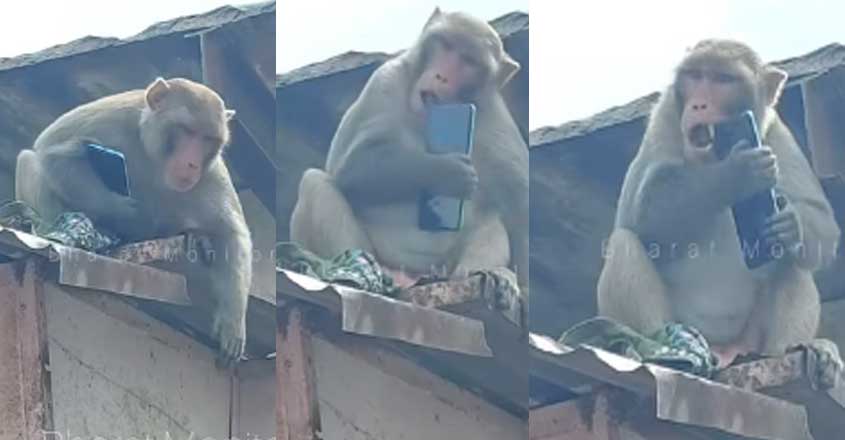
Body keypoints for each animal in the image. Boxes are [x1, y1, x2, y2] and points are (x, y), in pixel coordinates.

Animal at [15, 77, 252, 367]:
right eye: (186, 130)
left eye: (208, 139)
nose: (192, 164)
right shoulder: (113, 120)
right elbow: (53, 153)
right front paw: (135, 217)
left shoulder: (212, 174)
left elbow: (231, 235)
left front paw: (232, 323)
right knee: (30, 160)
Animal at [290, 8, 528, 301]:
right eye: (445, 44)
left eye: (469, 60)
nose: (441, 77)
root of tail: (411, 278)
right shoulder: (385, 81)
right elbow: (350, 167)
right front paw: (447, 172)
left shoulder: (494, 117)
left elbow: (517, 203)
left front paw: (512, 278)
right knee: (314, 183)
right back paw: (361, 274)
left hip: (444, 269)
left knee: (492, 220)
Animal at [597, 39, 842, 375]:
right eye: (695, 75)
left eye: (723, 79)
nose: (699, 104)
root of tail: (721, 351)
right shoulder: (664, 118)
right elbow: (640, 215)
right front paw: (736, 174)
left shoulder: (775, 132)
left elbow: (819, 223)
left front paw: (789, 222)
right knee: (624, 242)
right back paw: (663, 352)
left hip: (748, 339)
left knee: (792, 262)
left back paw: (786, 350)